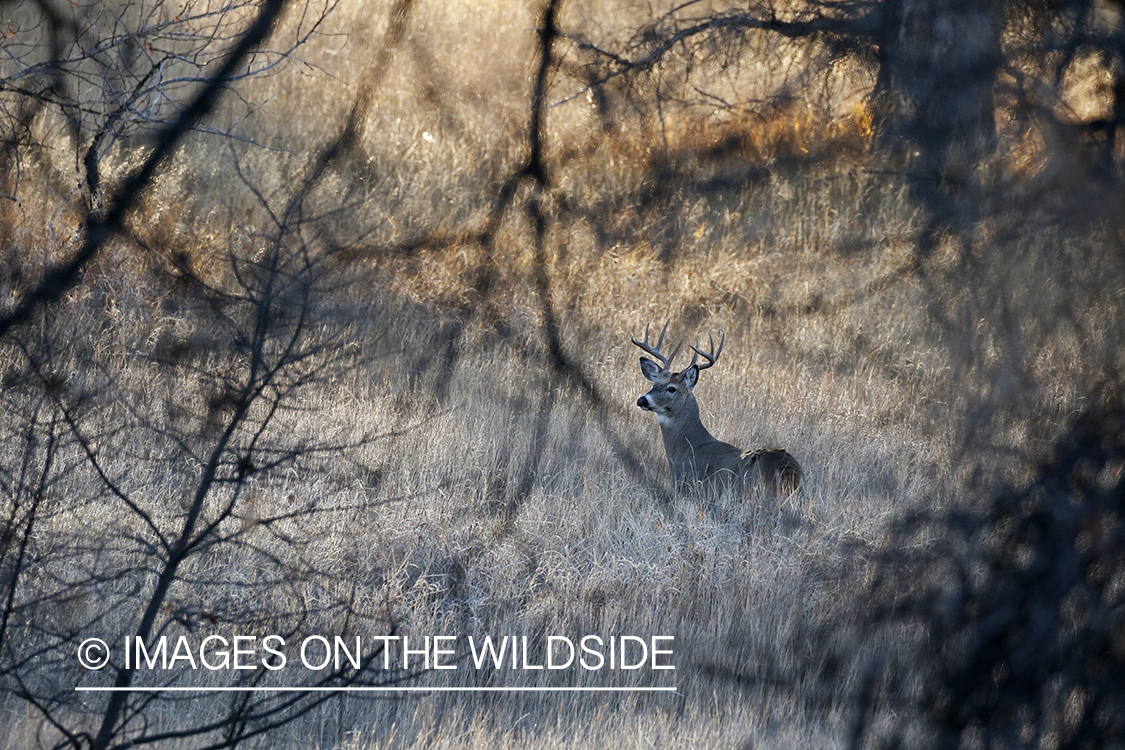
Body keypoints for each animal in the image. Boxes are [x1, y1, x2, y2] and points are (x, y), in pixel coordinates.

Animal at [634, 321, 801, 499]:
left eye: (671, 388)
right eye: (654, 384)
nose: (642, 400)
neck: (689, 447)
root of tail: (787, 469)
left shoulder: (687, 486)